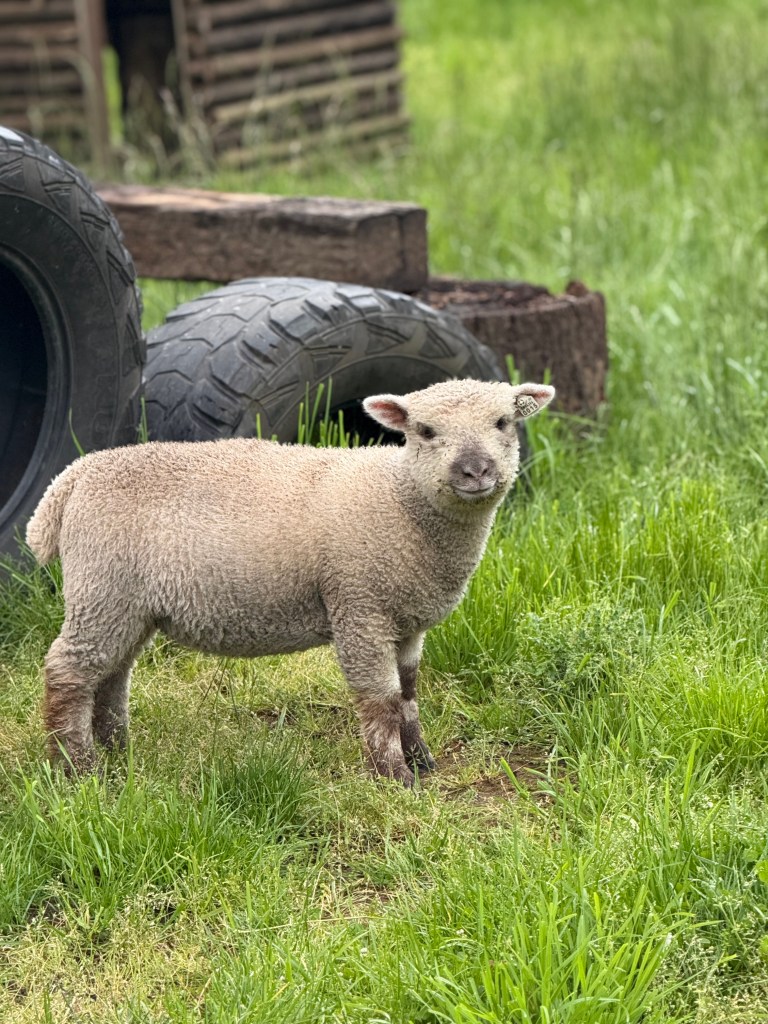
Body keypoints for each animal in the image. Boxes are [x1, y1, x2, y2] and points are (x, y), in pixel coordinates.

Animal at [26, 379, 555, 786]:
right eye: (425, 431)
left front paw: (422, 760)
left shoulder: (405, 620)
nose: (476, 470)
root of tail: (72, 479)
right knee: (69, 671)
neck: (402, 500)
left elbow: (406, 693)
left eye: (503, 422)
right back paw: (78, 769)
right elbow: (380, 698)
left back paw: (119, 753)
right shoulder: (359, 605)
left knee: (112, 675)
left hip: (128, 603)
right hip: (103, 586)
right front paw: (394, 776)